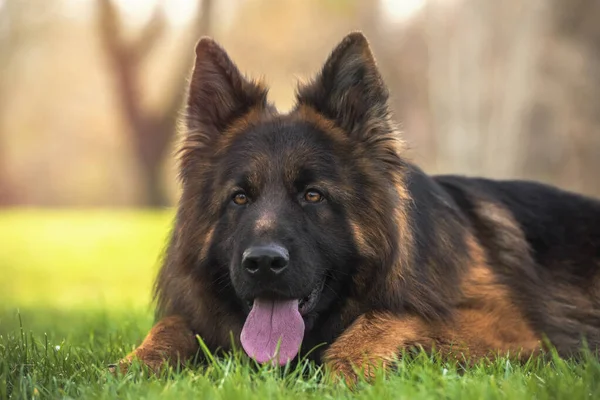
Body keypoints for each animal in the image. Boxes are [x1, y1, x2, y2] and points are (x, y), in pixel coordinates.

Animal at [111, 32, 600, 382]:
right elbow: (172, 325)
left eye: (313, 195)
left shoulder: (506, 328)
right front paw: (136, 363)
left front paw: (347, 368)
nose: (263, 263)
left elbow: (390, 313)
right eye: (240, 198)